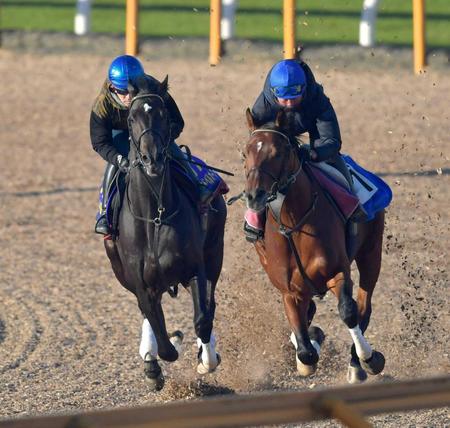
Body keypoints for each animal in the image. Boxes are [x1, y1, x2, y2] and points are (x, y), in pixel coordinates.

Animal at [103, 77, 227, 392]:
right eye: (131, 118)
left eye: (163, 114)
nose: (152, 158)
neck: (154, 217)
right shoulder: (140, 283)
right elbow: (162, 337)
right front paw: (158, 354)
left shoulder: (195, 268)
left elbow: (202, 320)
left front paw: (205, 358)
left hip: (215, 253)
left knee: (209, 306)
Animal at [244, 108, 384, 382]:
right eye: (245, 152)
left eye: (278, 153)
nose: (254, 196)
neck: (293, 223)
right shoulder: (290, 291)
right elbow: (306, 349)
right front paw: (310, 346)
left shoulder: (337, 272)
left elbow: (348, 311)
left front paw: (369, 357)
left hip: (371, 253)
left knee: (364, 306)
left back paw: (358, 363)